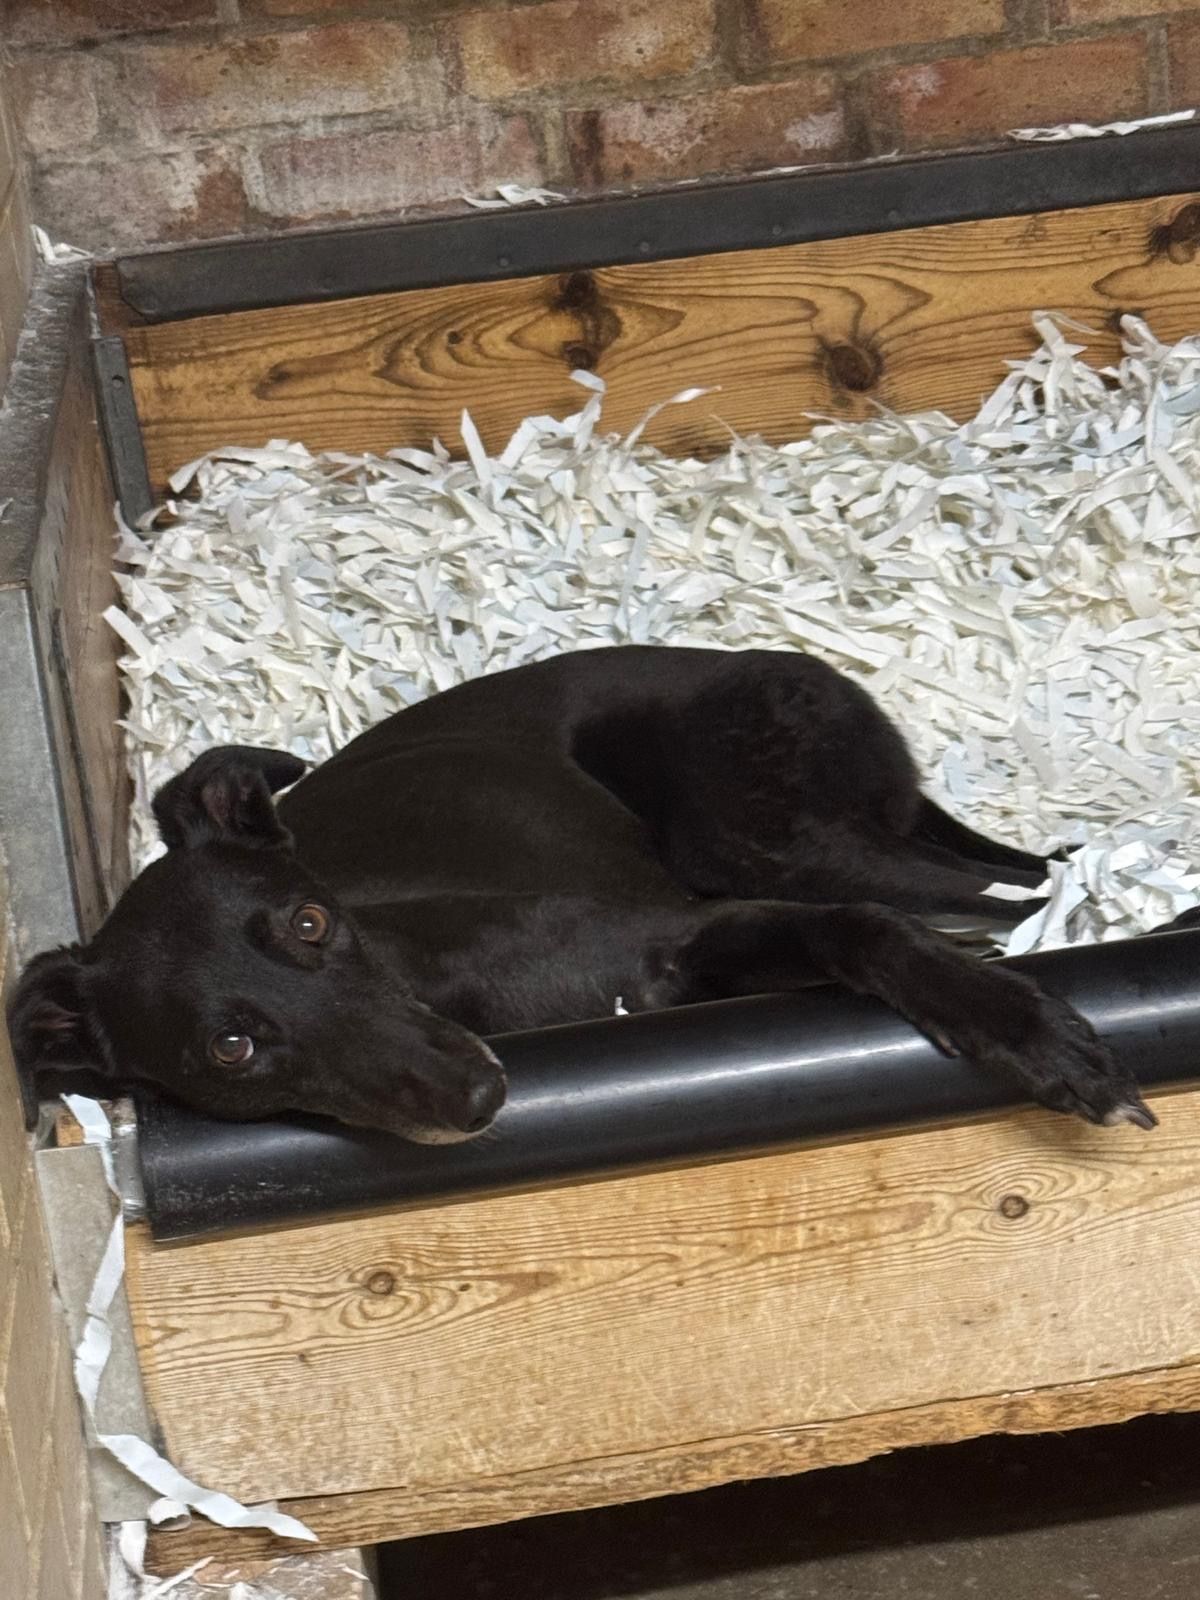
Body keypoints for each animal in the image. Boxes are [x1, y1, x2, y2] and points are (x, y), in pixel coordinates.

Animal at [10, 645, 1157, 1141]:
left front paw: (1033, 1034)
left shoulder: (694, 929)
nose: (478, 1093)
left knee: (1013, 886)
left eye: (309, 920)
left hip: (759, 838)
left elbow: (872, 936)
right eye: (230, 1046)